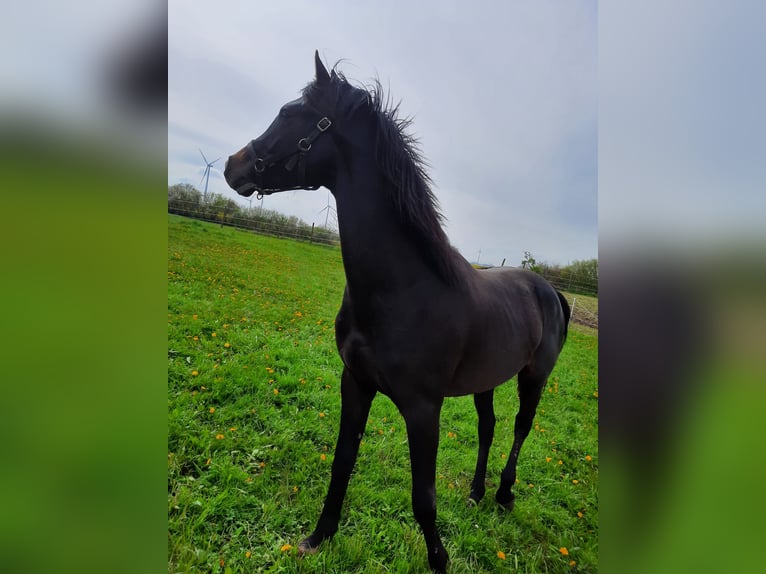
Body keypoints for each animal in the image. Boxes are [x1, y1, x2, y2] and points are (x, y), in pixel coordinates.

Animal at [224, 51, 570, 573]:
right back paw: (475, 493)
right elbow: (342, 461)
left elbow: (423, 497)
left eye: (290, 113)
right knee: (488, 428)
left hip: (534, 377)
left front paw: (439, 560)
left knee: (519, 429)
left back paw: (504, 494)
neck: (401, 289)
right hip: (487, 381)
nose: (232, 165)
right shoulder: (356, 383)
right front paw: (318, 538)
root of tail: (550, 291)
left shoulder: (423, 408)